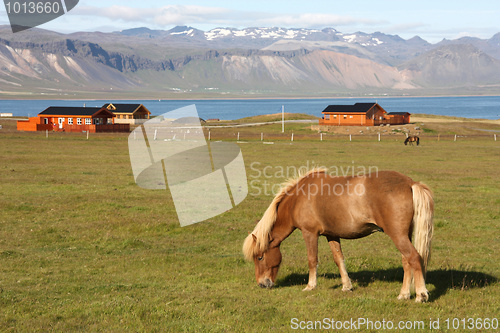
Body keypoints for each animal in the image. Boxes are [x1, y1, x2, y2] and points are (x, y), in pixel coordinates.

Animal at [242, 169, 434, 300]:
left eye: (260, 257)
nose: (262, 284)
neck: (299, 197)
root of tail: (410, 183)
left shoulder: (309, 233)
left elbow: (312, 260)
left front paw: (310, 286)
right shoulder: (331, 235)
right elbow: (338, 259)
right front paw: (346, 286)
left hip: (398, 236)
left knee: (414, 258)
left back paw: (421, 294)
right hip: (404, 235)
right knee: (407, 262)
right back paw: (403, 294)